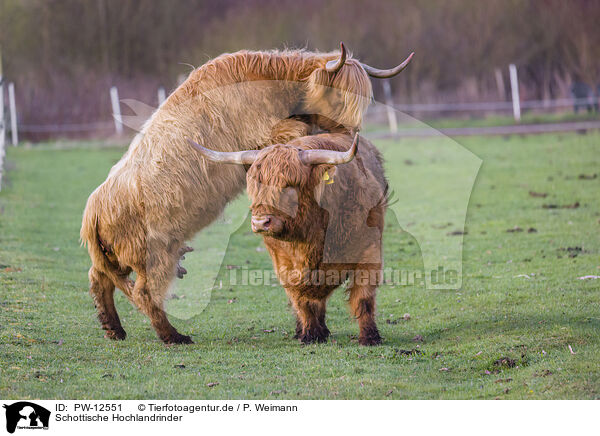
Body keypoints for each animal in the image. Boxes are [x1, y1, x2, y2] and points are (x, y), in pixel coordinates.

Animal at [190, 132, 392, 344]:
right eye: (254, 186)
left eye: (289, 185)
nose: (260, 222)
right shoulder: (284, 264)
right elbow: (301, 299)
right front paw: (311, 334)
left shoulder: (369, 252)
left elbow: (363, 297)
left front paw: (369, 337)